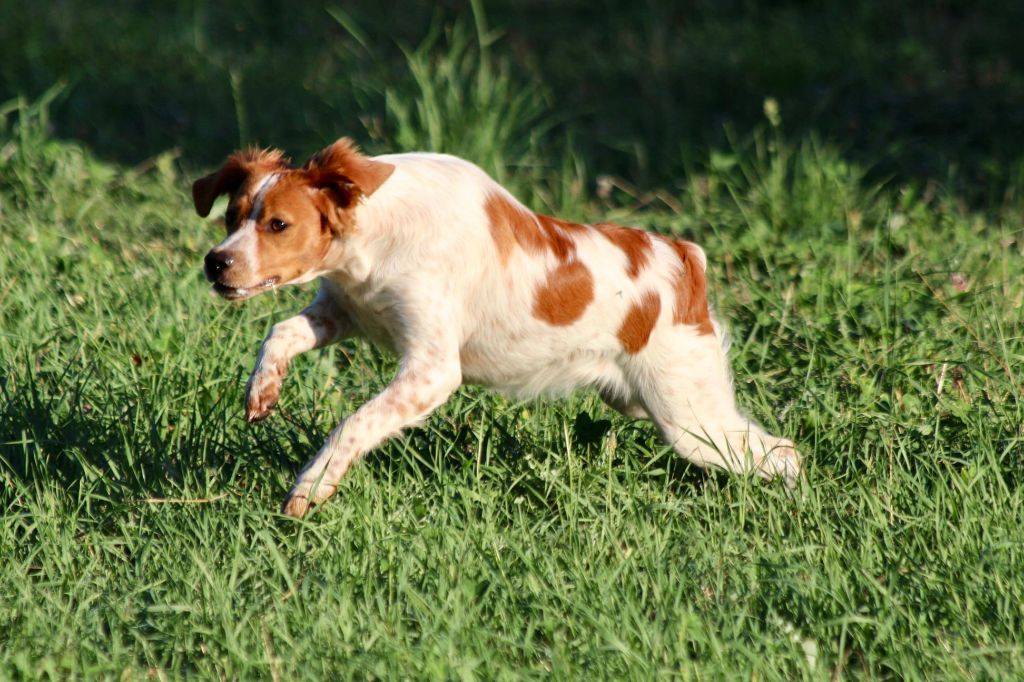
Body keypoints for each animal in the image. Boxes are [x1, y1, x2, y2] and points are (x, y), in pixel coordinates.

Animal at [192, 137, 798, 516]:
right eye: (231, 216)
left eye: (278, 224)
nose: (215, 263)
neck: (379, 236)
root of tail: (684, 257)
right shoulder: (343, 310)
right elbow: (282, 331)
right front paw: (262, 389)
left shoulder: (432, 371)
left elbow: (353, 424)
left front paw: (311, 485)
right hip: (644, 401)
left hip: (690, 416)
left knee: (784, 454)